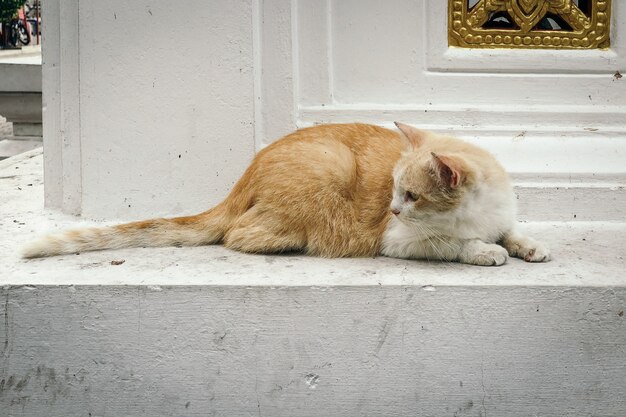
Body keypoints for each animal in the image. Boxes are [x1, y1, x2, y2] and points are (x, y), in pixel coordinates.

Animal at [20, 122, 544, 264]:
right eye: (397, 193)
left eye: (410, 194)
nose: (393, 208)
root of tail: (248, 170)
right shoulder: (397, 240)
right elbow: (453, 243)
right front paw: (484, 250)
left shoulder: (501, 217)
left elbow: (512, 231)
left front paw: (527, 246)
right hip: (329, 165)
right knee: (238, 233)